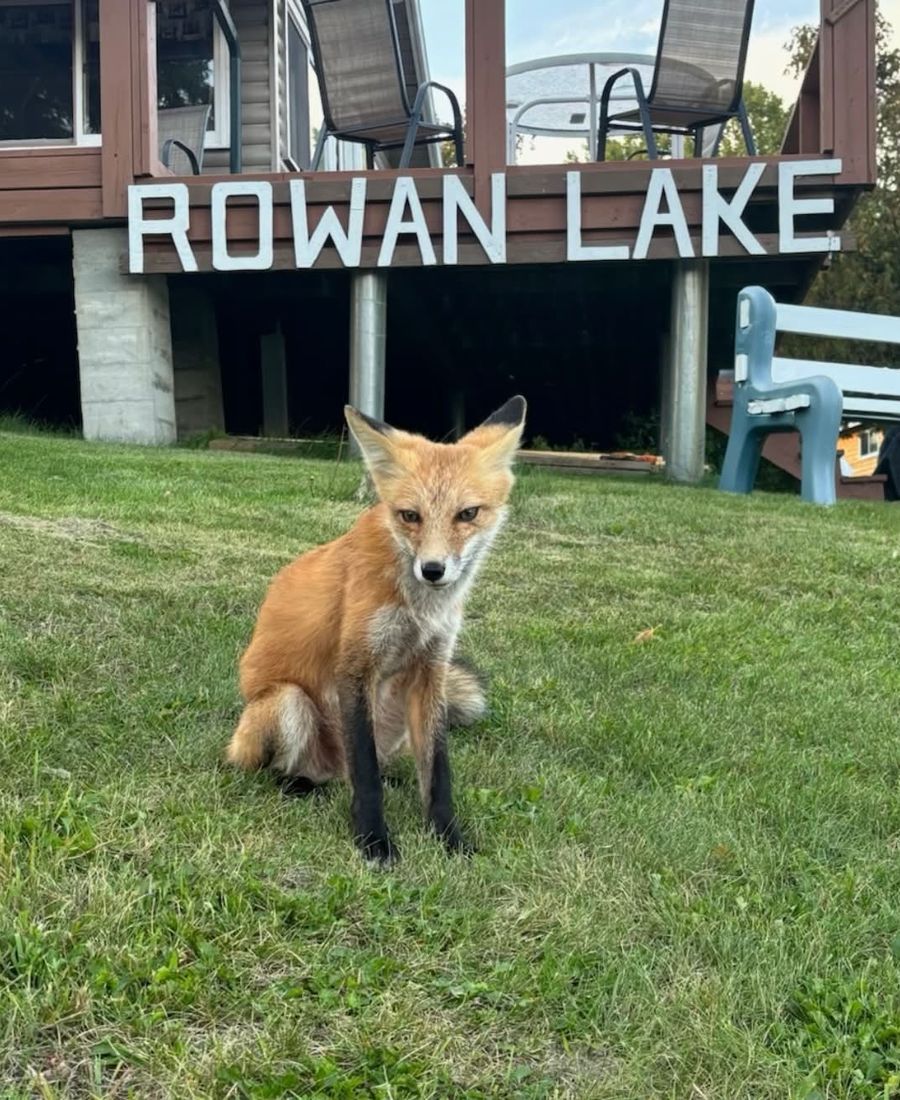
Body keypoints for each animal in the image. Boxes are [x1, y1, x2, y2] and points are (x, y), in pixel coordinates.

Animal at [226, 395, 527, 863]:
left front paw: (449, 838)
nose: (433, 570)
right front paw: (373, 841)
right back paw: (299, 786)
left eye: (467, 514)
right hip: (286, 703)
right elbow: (365, 774)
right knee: (296, 771)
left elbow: (437, 773)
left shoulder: (431, 670)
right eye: (410, 516)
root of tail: (330, 771)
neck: (419, 608)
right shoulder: (354, 666)